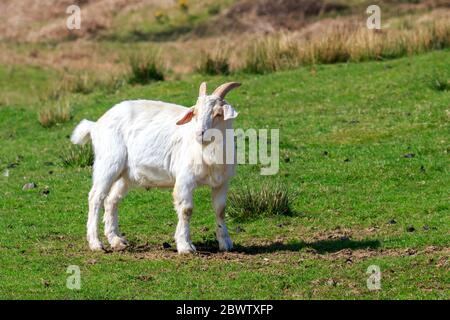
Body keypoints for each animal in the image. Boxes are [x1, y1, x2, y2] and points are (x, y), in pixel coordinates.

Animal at [70, 81, 241, 254]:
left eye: (218, 113)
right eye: (195, 113)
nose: (200, 134)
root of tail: (95, 125)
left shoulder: (222, 182)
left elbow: (220, 209)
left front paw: (226, 243)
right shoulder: (185, 179)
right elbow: (186, 210)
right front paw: (185, 245)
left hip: (125, 175)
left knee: (111, 200)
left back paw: (116, 240)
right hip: (108, 163)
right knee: (96, 197)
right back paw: (96, 243)